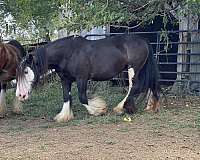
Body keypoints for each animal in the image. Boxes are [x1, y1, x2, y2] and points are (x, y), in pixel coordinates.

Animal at [15, 35, 160, 122]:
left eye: (26, 71)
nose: (21, 95)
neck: (68, 53)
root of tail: (143, 40)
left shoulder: (82, 78)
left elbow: (82, 97)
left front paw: (99, 110)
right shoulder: (65, 80)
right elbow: (66, 97)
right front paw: (64, 116)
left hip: (133, 68)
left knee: (134, 86)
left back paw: (120, 108)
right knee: (145, 86)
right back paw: (146, 107)